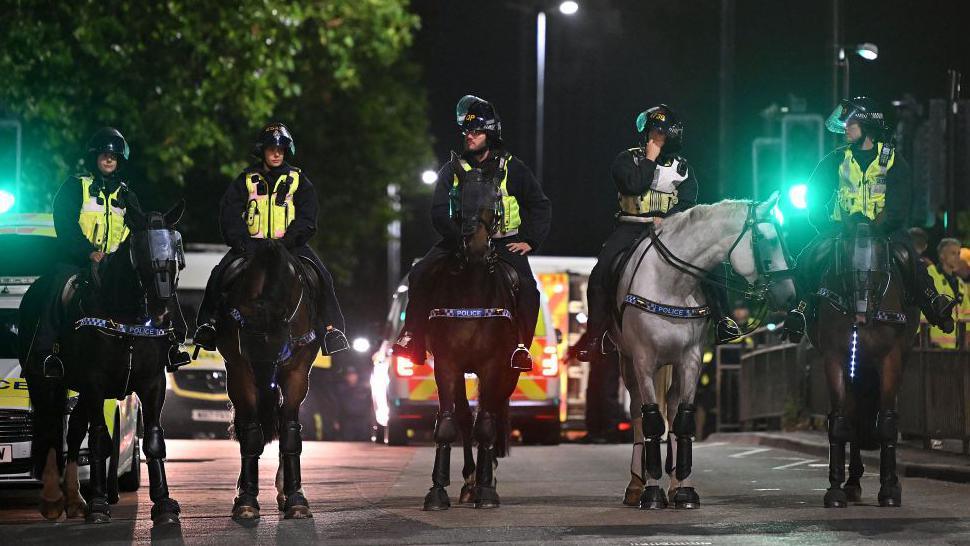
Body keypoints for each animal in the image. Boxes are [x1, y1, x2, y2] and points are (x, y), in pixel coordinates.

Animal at [18, 201, 185, 524]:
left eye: (176, 247)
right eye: (140, 249)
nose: (163, 308)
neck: (127, 319)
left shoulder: (152, 383)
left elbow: (153, 441)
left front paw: (163, 503)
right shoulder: (95, 384)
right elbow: (99, 441)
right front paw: (98, 503)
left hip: (79, 391)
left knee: (72, 431)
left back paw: (74, 499)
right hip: (44, 383)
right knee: (50, 430)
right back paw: (54, 500)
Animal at [612, 193, 796, 508]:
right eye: (765, 238)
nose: (789, 294)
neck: (671, 283)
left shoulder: (691, 360)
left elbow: (684, 419)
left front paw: (684, 490)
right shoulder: (643, 360)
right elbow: (651, 422)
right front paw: (652, 492)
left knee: (672, 408)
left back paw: (673, 484)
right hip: (628, 363)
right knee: (638, 412)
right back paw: (637, 484)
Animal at [804, 217, 920, 506]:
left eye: (878, 267)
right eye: (845, 264)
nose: (860, 317)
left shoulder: (890, 360)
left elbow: (887, 424)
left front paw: (889, 490)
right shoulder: (835, 359)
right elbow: (840, 422)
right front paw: (835, 490)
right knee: (855, 419)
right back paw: (852, 483)